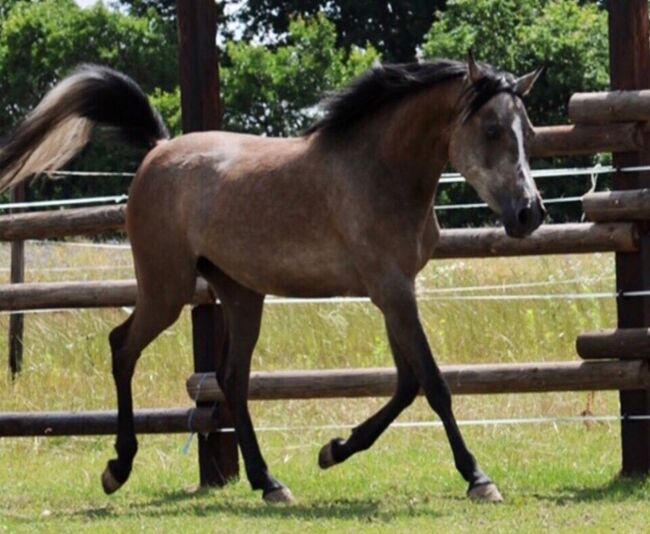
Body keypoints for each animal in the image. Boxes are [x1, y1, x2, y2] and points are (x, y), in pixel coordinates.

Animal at [0, 54, 544, 506]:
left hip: (241, 296)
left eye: (529, 132)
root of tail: (157, 150)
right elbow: (433, 384)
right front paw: (478, 478)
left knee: (230, 380)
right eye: (492, 129)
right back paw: (118, 468)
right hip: (166, 289)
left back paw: (269, 483)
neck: (379, 171)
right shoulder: (391, 290)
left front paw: (333, 449)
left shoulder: (393, 292)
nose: (529, 213)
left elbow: (407, 384)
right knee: (122, 348)